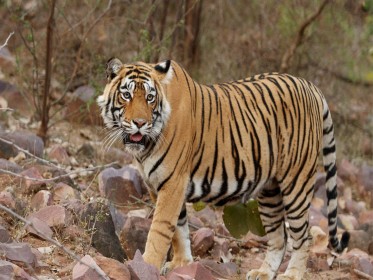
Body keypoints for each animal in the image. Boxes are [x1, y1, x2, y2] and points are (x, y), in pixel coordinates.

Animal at [96, 58, 348, 278]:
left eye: (149, 97)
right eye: (126, 95)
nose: (140, 123)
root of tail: (311, 86)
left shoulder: (173, 183)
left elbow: (160, 229)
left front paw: (145, 266)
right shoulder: (157, 185)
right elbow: (179, 229)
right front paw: (182, 263)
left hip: (296, 183)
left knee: (303, 236)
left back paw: (292, 275)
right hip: (270, 192)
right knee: (279, 237)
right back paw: (263, 273)